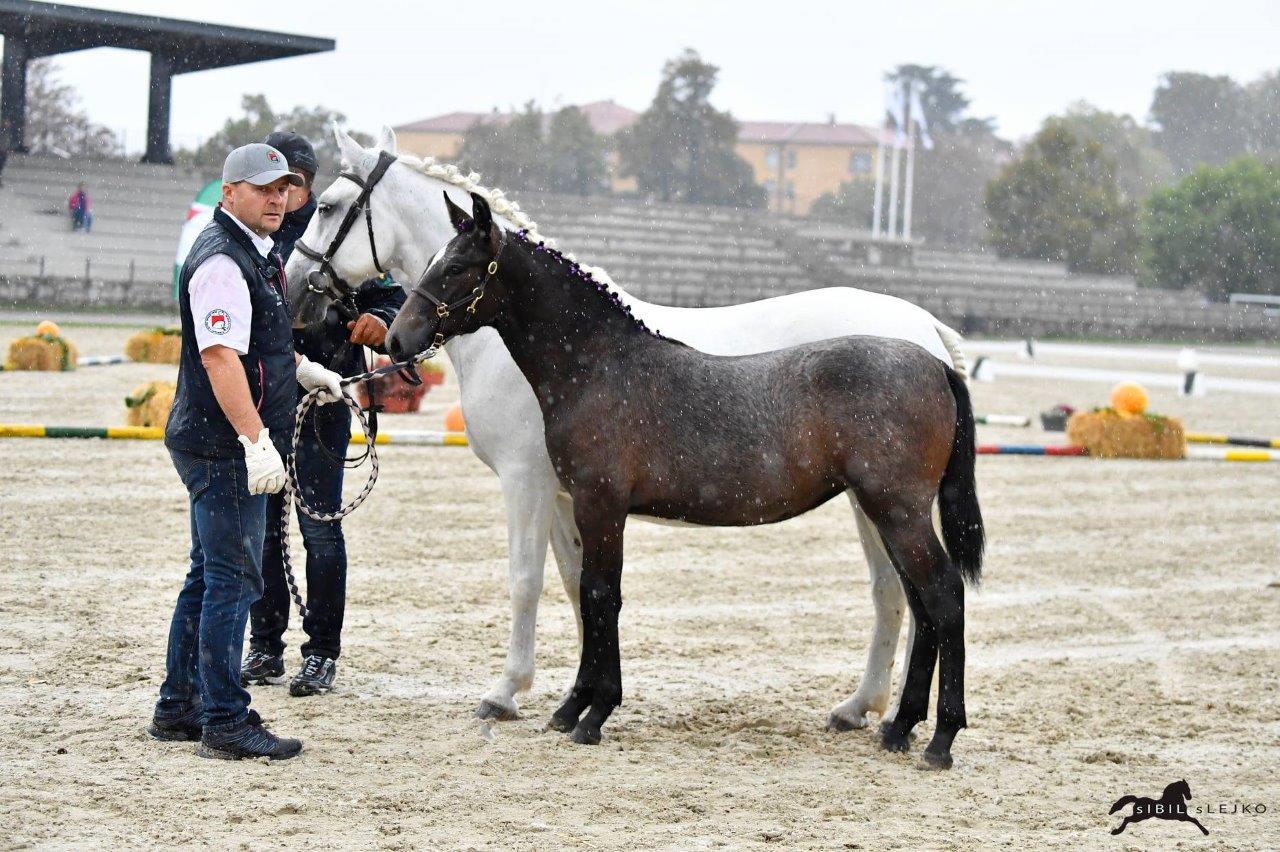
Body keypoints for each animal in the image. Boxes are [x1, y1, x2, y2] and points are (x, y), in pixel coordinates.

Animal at [286, 127, 971, 731]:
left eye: (328, 206)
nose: (295, 290)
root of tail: (927, 336)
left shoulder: (529, 483)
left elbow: (530, 583)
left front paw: (509, 693)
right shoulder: (571, 496)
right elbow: (579, 587)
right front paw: (577, 695)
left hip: (883, 501)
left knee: (912, 593)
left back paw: (900, 718)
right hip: (869, 499)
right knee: (898, 593)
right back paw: (868, 710)